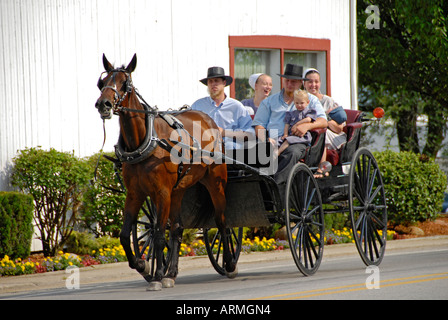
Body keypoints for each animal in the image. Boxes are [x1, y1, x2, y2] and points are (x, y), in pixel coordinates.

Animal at [94, 54, 234, 290]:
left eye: (125, 83)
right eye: (102, 82)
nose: (103, 104)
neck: (145, 141)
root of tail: (208, 119)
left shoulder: (162, 192)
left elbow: (159, 235)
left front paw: (157, 275)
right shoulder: (136, 193)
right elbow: (124, 235)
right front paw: (142, 265)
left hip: (216, 182)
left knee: (222, 221)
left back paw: (230, 263)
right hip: (178, 190)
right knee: (177, 228)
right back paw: (172, 273)